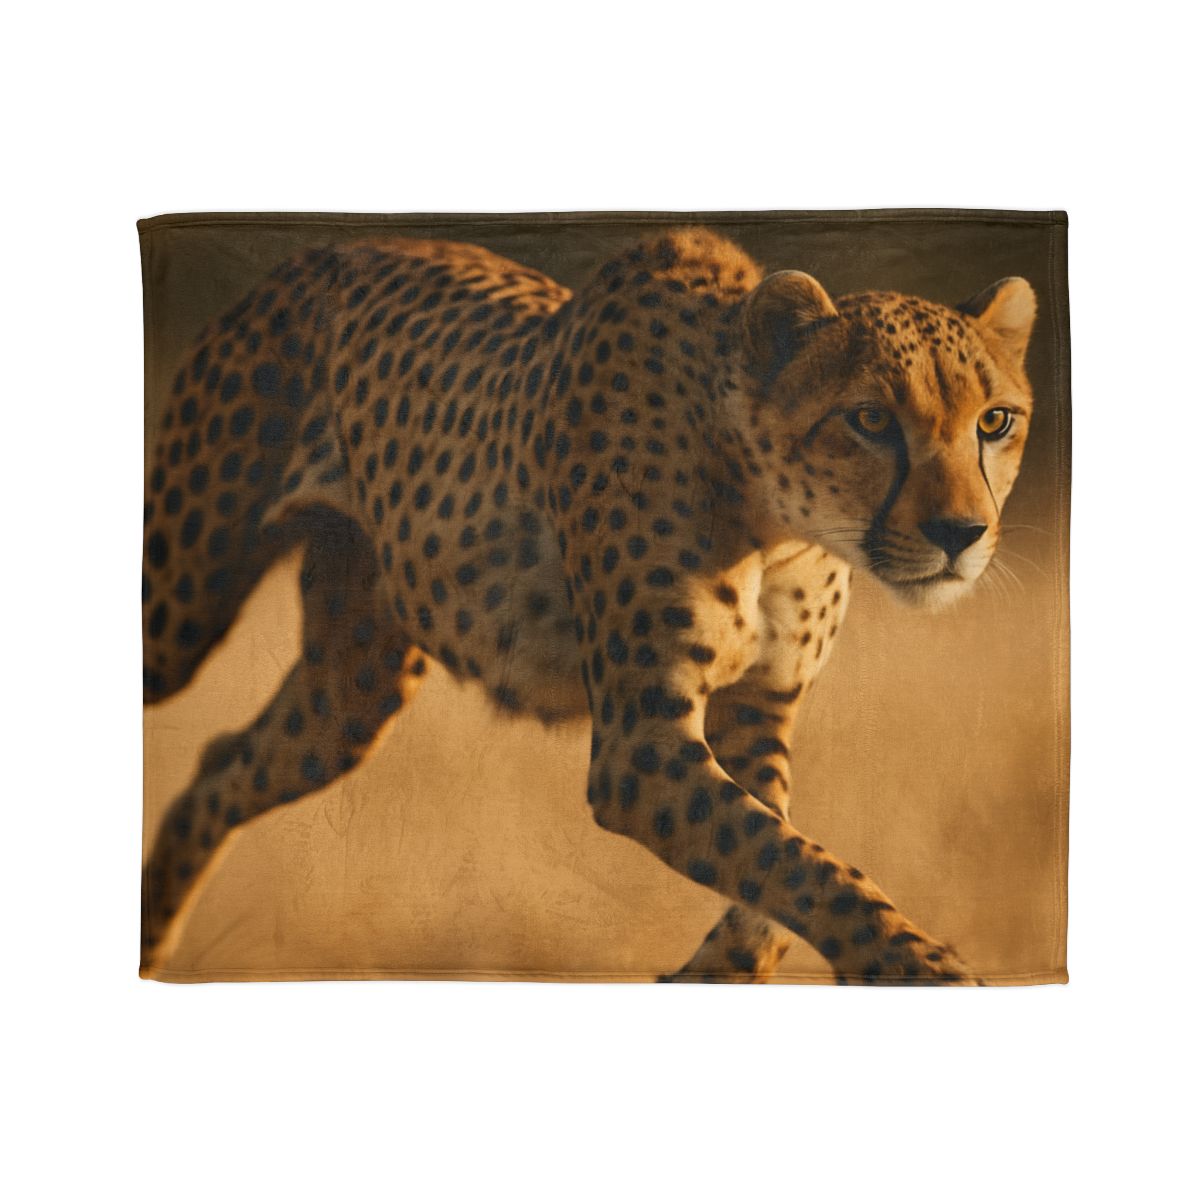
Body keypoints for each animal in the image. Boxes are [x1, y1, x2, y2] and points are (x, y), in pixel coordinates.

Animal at [141, 226, 1036, 983]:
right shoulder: (640, 746)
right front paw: (922, 967)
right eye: (871, 420)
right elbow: (793, 859)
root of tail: (325, 249)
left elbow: (779, 862)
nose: (961, 533)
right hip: (179, 611)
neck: (775, 519)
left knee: (222, 760)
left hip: (351, 695)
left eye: (995, 421)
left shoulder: (755, 711)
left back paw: (156, 930)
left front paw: (720, 968)